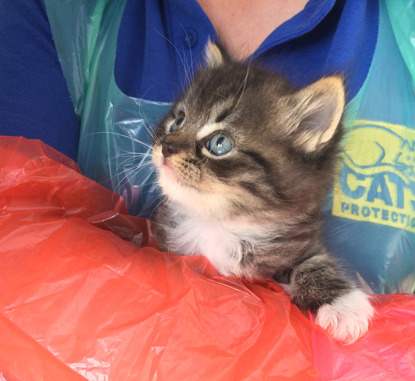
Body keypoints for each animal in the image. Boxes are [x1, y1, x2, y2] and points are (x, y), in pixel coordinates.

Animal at [151, 42, 376, 344]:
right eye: (178, 121)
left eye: (219, 143)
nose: (167, 147)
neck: (218, 223)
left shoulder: (300, 242)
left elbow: (316, 262)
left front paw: (344, 306)